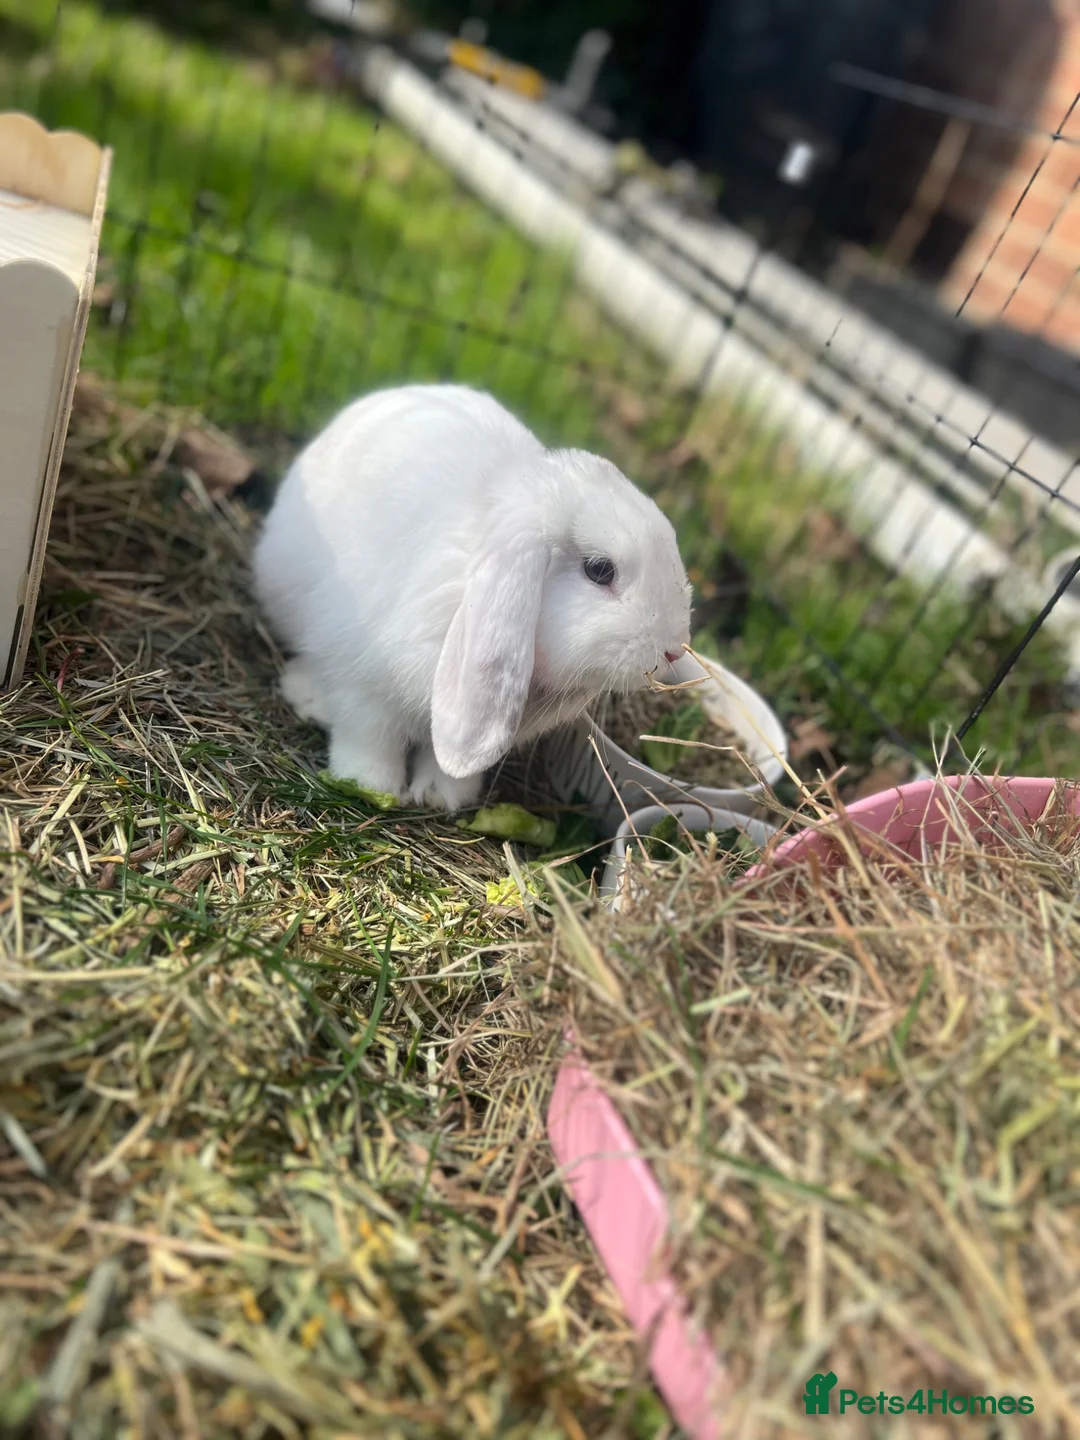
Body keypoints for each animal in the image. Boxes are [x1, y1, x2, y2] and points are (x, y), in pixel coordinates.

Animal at [253, 383, 692, 811]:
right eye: (600, 570)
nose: (673, 651)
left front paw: (442, 796)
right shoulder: (363, 686)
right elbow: (369, 736)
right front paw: (369, 784)